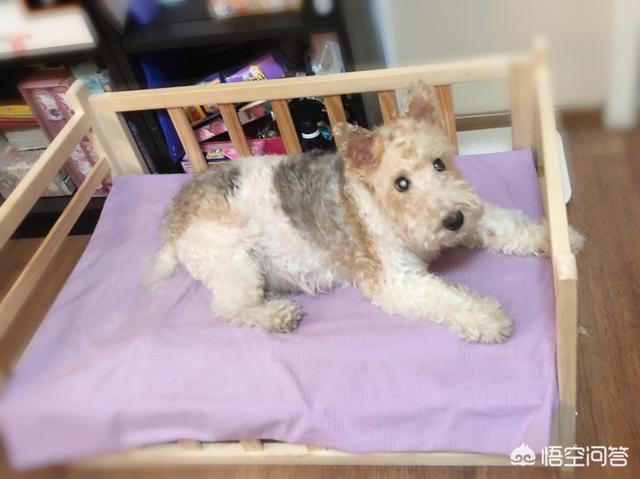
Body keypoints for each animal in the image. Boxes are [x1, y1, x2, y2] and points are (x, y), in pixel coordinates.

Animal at [147, 81, 583, 343]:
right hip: (232, 262)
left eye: (439, 163)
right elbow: (448, 298)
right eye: (401, 183)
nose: (453, 221)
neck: (380, 208)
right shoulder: (396, 280)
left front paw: (561, 238)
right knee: (230, 308)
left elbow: (506, 226)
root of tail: (173, 213)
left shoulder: (470, 215)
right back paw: (278, 315)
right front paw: (489, 318)